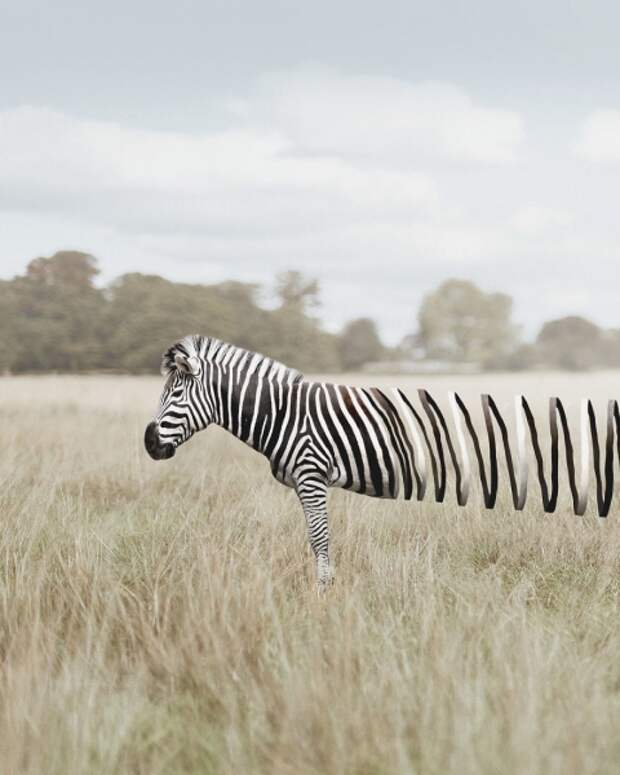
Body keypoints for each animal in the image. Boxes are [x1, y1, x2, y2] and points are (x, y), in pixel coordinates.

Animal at [147, 334, 620, 588]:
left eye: (176, 394)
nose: (150, 445)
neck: (281, 412)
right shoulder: (305, 482)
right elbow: (315, 541)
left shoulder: (311, 475)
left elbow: (320, 540)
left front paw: (322, 596)